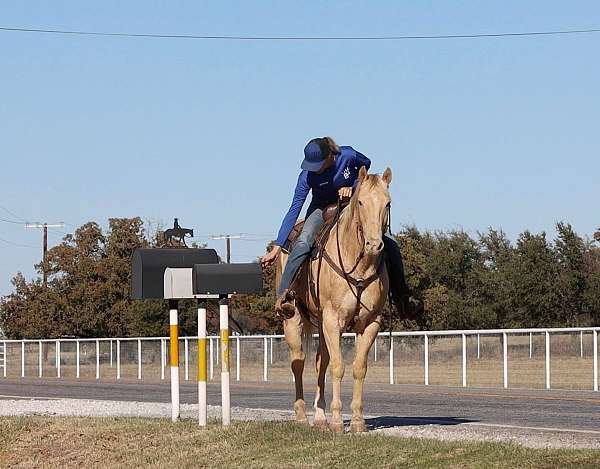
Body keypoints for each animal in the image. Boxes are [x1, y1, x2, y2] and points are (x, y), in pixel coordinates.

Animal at [276, 165, 392, 432]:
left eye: (387, 203)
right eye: (360, 202)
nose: (374, 245)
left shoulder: (370, 323)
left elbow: (358, 368)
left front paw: (358, 421)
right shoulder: (333, 319)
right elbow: (338, 367)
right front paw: (338, 421)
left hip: (321, 324)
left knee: (321, 362)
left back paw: (320, 417)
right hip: (293, 319)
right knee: (298, 362)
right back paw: (301, 415)